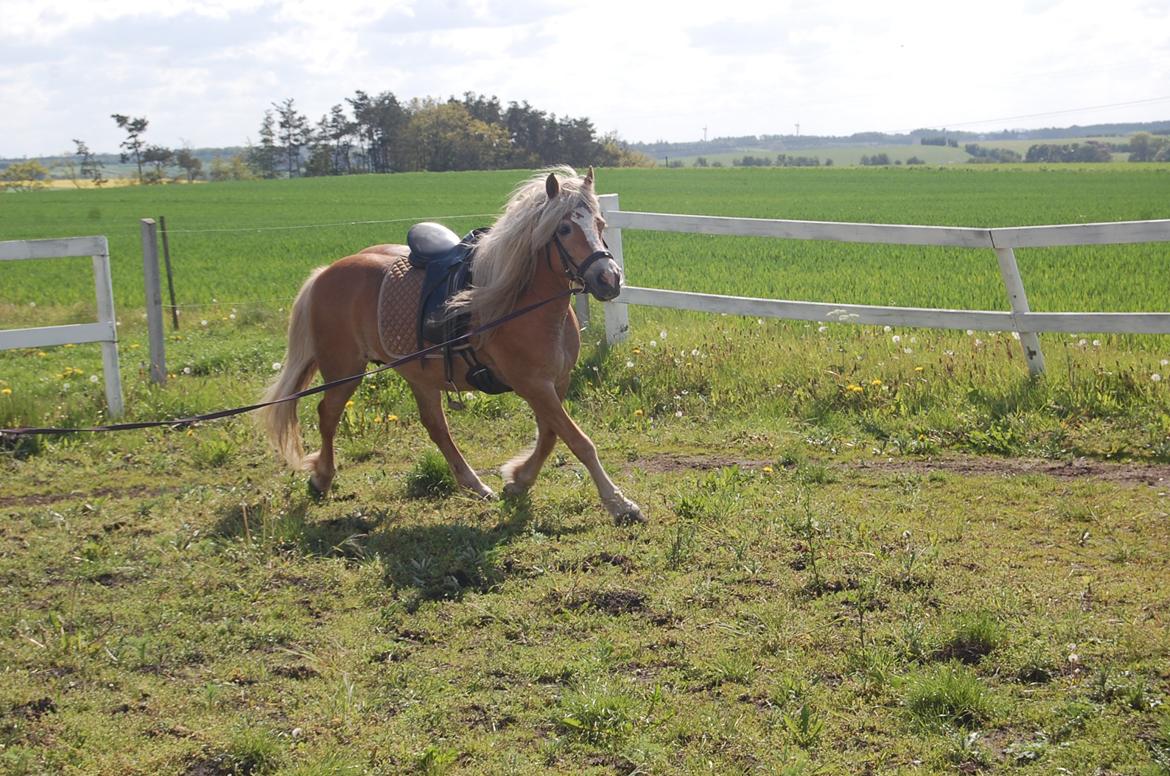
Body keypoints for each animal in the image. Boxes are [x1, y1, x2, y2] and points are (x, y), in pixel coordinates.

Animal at [259, 166, 645, 524]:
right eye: (564, 229)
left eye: (600, 223)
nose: (609, 279)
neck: (523, 301)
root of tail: (325, 272)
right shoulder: (533, 385)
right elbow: (579, 441)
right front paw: (620, 505)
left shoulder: (555, 383)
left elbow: (551, 436)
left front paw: (518, 480)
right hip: (344, 369)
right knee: (328, 414)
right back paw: (322, 479)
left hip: (418, 375)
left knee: (435, 426)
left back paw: (474, 484)